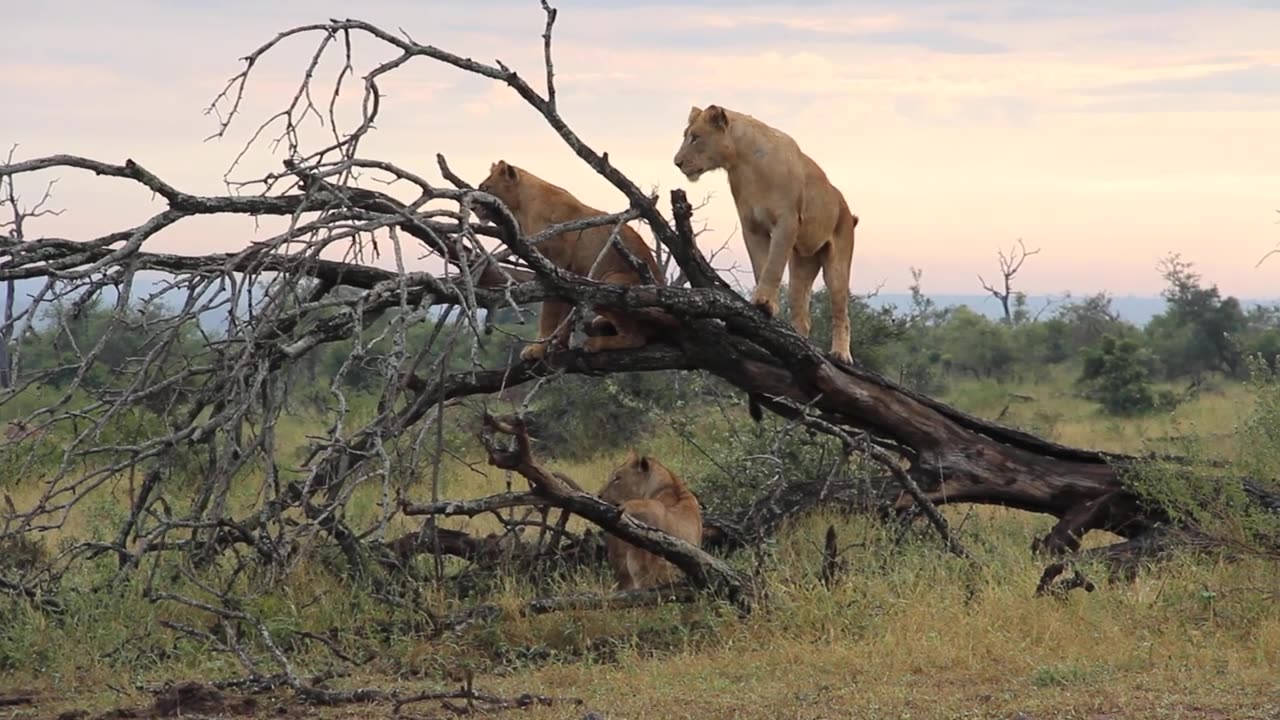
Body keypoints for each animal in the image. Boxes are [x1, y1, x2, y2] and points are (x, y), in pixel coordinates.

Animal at [473, 156, 670, 358]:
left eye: (485, 189)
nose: (473, 207)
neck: (521, 208)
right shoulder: (569, 278)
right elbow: (565, 315)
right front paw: (558, 344)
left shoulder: (554, 269)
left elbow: (549, 314)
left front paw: (537, 349)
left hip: (610, 282)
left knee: (635, 337)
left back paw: (594, 343)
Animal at [670, 103, 860, 361]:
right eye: (686, 136)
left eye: (696, 138)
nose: (677, 162)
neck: (744, 163)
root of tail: (846, 209)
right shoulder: (752, 227)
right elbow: (761, 265)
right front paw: (765, 309)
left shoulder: (787, 221)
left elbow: (773, 265)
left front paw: (764, 302)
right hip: (802, 264)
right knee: (803, 313)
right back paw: (796, 344)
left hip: (837, 262)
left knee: (842, 312)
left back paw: (840, 354)